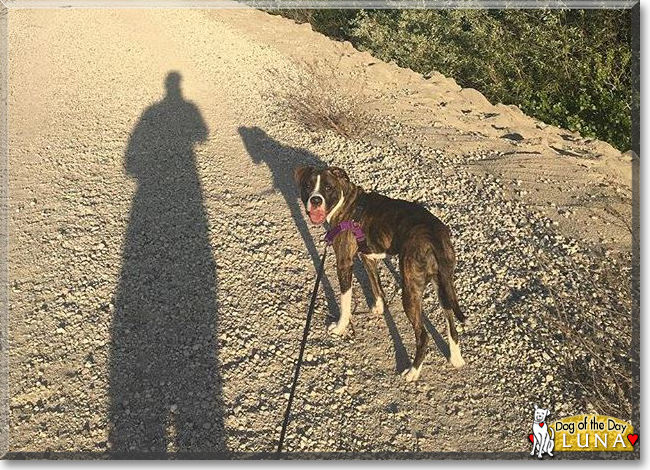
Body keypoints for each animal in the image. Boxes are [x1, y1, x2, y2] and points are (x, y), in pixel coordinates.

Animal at [294, 165, 466, 382]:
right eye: (308, 186)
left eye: (328, 187)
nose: (315, 200)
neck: (346, 204)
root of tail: (434, 235)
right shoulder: (368, 256)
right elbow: (376, 285)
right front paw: (378, 308)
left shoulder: (344, 264)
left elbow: (345, 302)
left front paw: (340, 327)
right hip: (443, 285)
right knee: (452, 324)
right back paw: (456, 359)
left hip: (411, 289)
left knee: (423, 335)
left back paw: (413, 372)